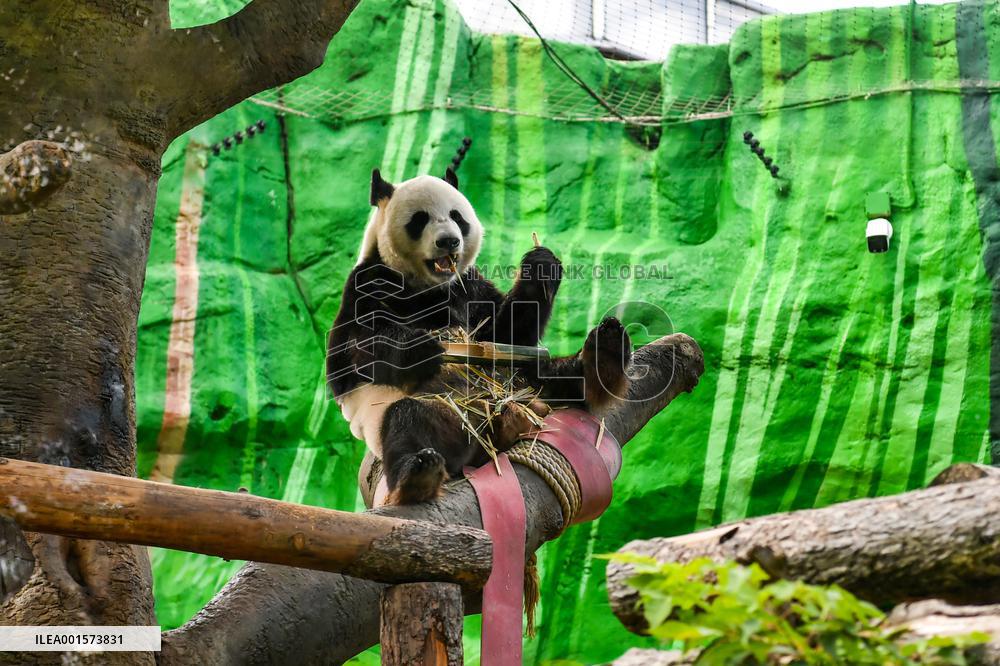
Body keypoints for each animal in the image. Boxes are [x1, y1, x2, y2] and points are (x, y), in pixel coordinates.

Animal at [326, 166, 632, 504]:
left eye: (457, 216)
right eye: (420, 219)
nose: (449, 241)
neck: (428, 286)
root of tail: (497, 424)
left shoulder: (469, 286)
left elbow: (506, 335)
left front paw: (541, 267)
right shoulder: (368, 283)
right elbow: (354, 351)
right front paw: (419, 348)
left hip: (525, 384)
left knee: (559, 377)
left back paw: (605, 353)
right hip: (446, 412)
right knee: (408, 421)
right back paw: (418, 475)